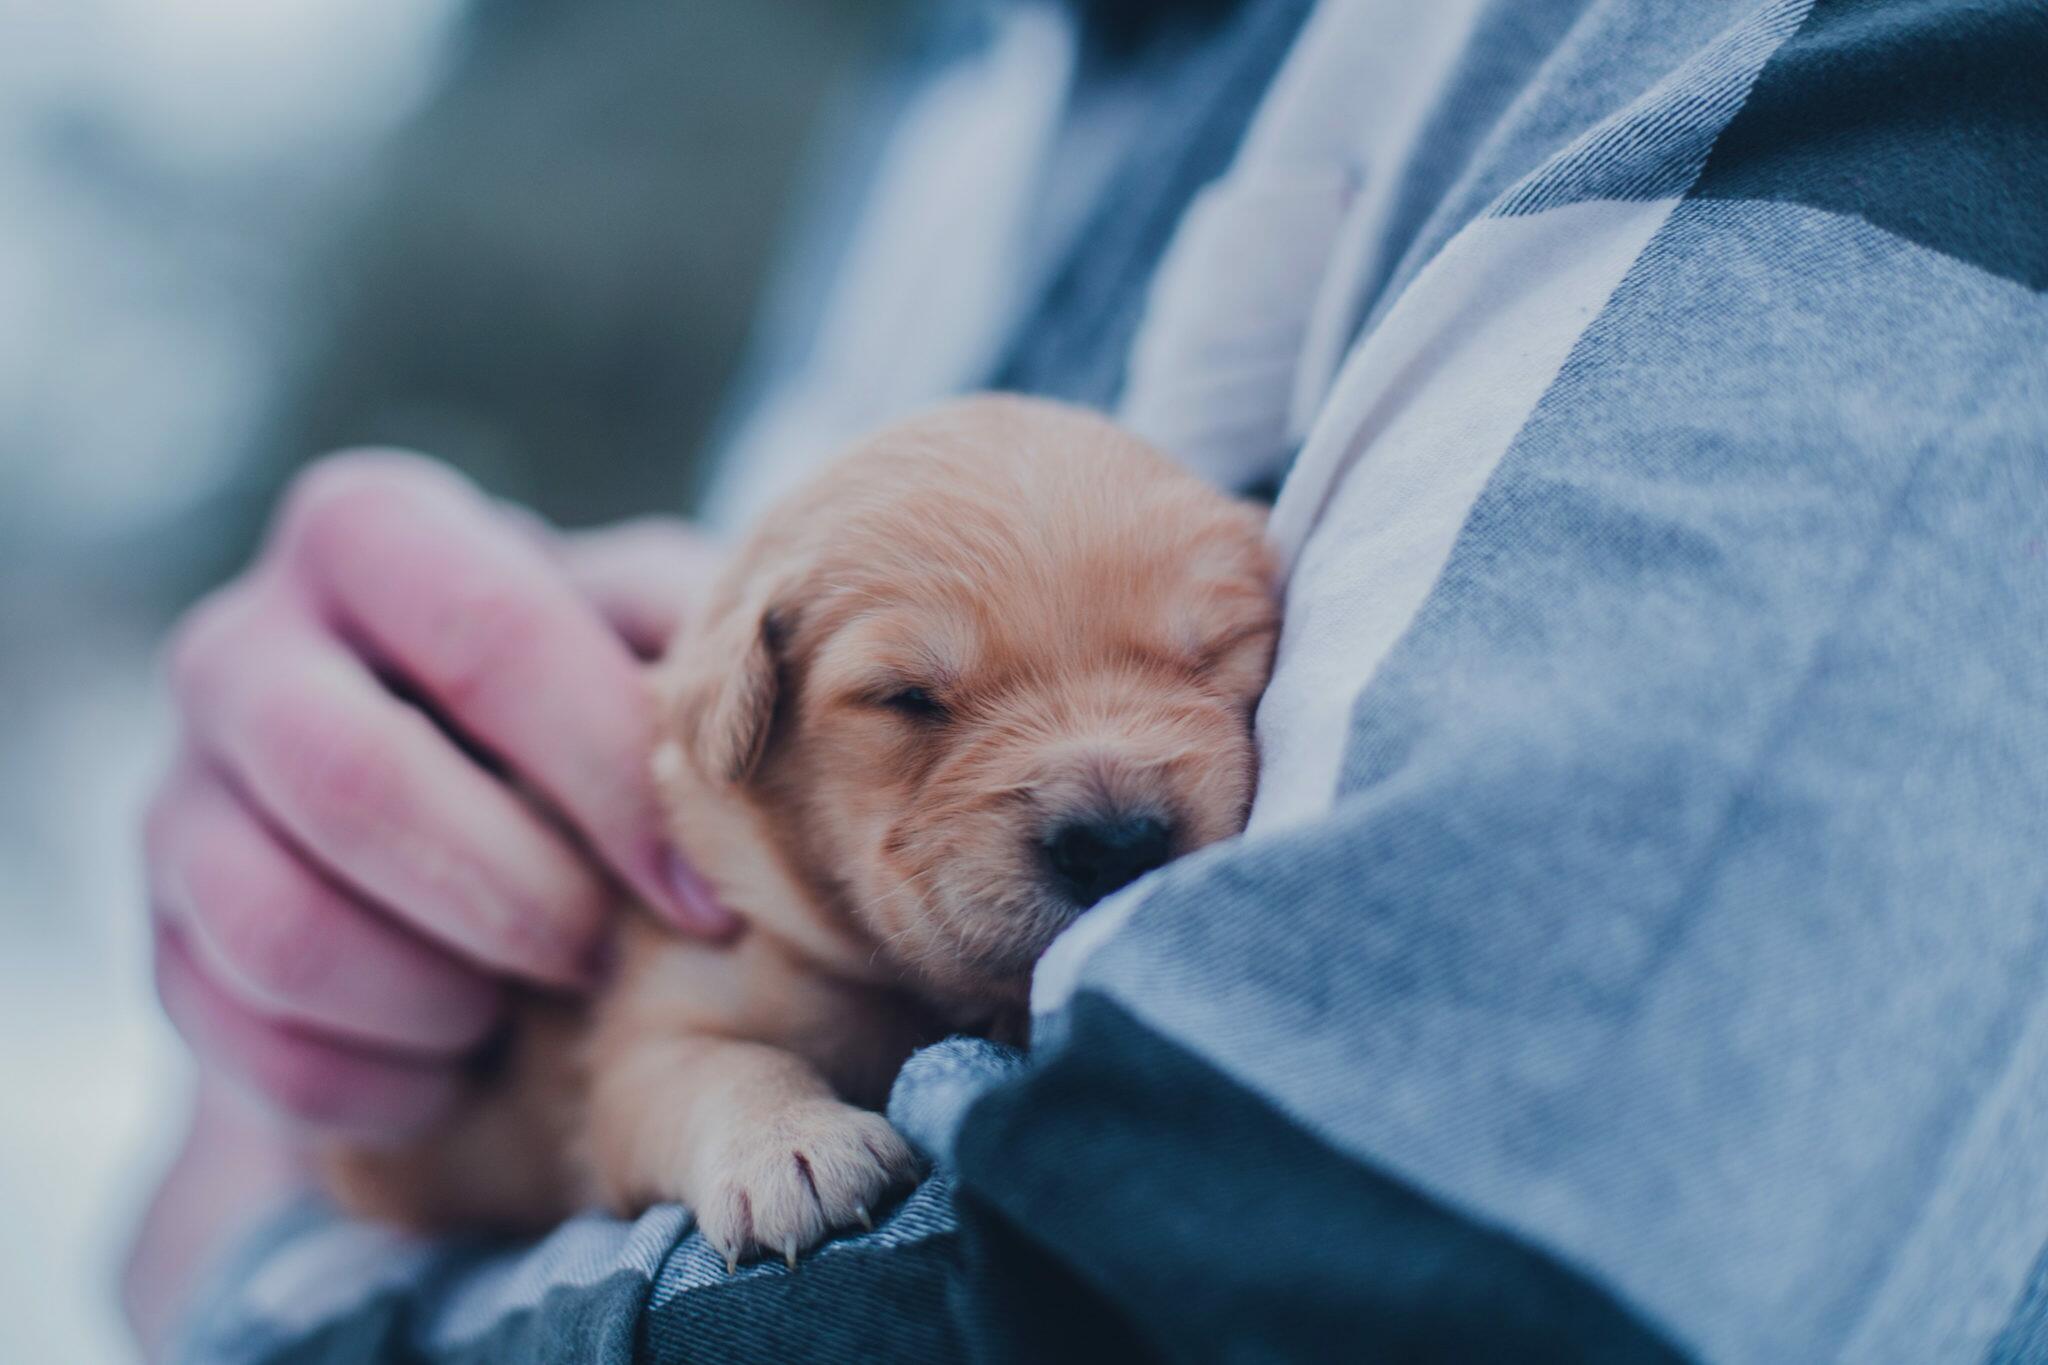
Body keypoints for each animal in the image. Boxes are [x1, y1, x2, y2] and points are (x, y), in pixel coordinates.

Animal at [325, 392, 1269, 1268]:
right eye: (908, 697)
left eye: (1214, 652)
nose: (1114, 844)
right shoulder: (648, 1026)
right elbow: (717, 1064)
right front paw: (791, 1145)